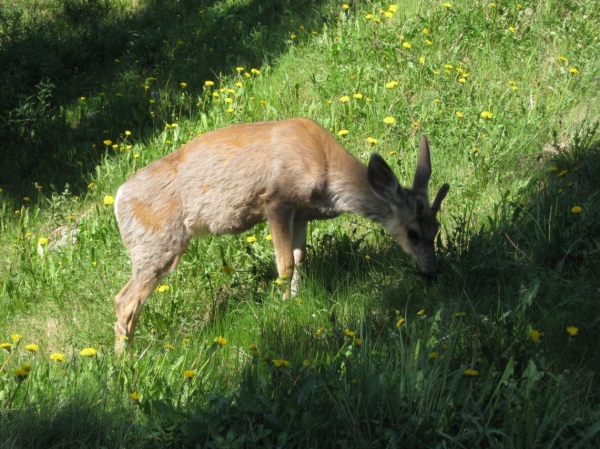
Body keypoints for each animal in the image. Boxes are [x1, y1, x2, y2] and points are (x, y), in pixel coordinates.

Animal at [112, 117, 450, 352]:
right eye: (413, 232)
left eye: (437, 229)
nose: (432, 272)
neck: (326, 174)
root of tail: (118, 198)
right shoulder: (276, 201)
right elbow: (284, 265)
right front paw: (285, 310)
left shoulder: (301, 213)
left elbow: (301, 259)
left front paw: (298, 301)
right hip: (157, 242)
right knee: (125, 300)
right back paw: (125, 363)